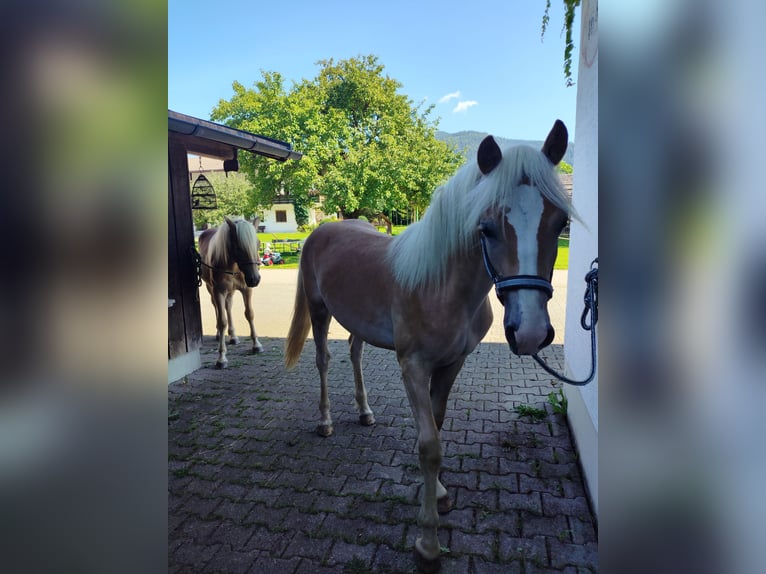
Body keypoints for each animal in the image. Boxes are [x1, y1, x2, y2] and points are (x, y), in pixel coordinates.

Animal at [198, 216, 264, 368]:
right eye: (238, 247)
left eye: (258, 244)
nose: (255, 279)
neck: (233, 266)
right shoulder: (219, 291)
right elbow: (222, 321)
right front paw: (221, 357)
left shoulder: (246, 290)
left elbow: (249, 314)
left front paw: (256, 345)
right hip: (211, 288)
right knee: (217, 308)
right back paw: (218, 334)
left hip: (230, 291)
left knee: (228, 307)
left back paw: (233, 336)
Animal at [286, 120, 576, 572]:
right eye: (486, 228)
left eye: (559, 220)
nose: (529, 332)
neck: (442, 285)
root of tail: (325, 228)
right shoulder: (413, 367)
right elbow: (428, 445)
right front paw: (427, 542)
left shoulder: (452, 363)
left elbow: (437, 426)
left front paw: (438, 494)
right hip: (319, 312)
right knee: (323, 361)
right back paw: (326, 421)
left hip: (356, 323)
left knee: (354, 354)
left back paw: (365, 412)